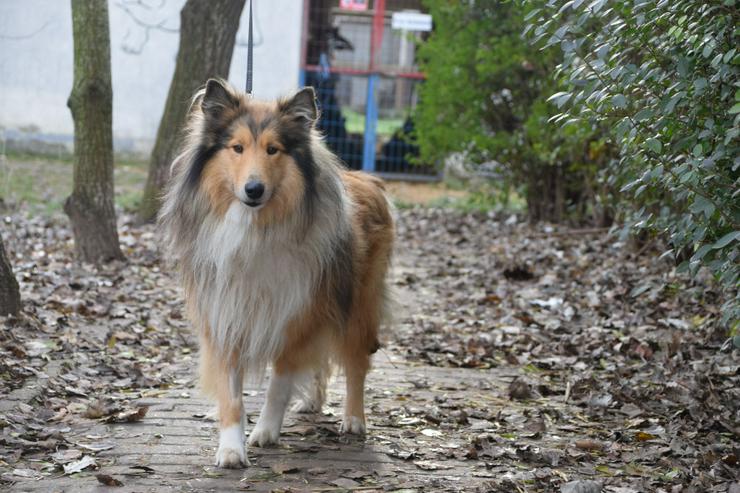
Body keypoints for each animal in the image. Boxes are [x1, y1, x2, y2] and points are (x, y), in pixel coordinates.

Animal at [160, 79, 396, 468]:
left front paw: (266, 433)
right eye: (237, 147)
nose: (253, 190)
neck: (255, 228)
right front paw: (231, 449)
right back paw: (313, 401)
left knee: (356, 363)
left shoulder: (296, 315)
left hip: (356, 305)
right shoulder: (226, 314)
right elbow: (232, 395)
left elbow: (278, 385)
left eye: (273, 150)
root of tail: (368, 179)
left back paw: (353, 419)